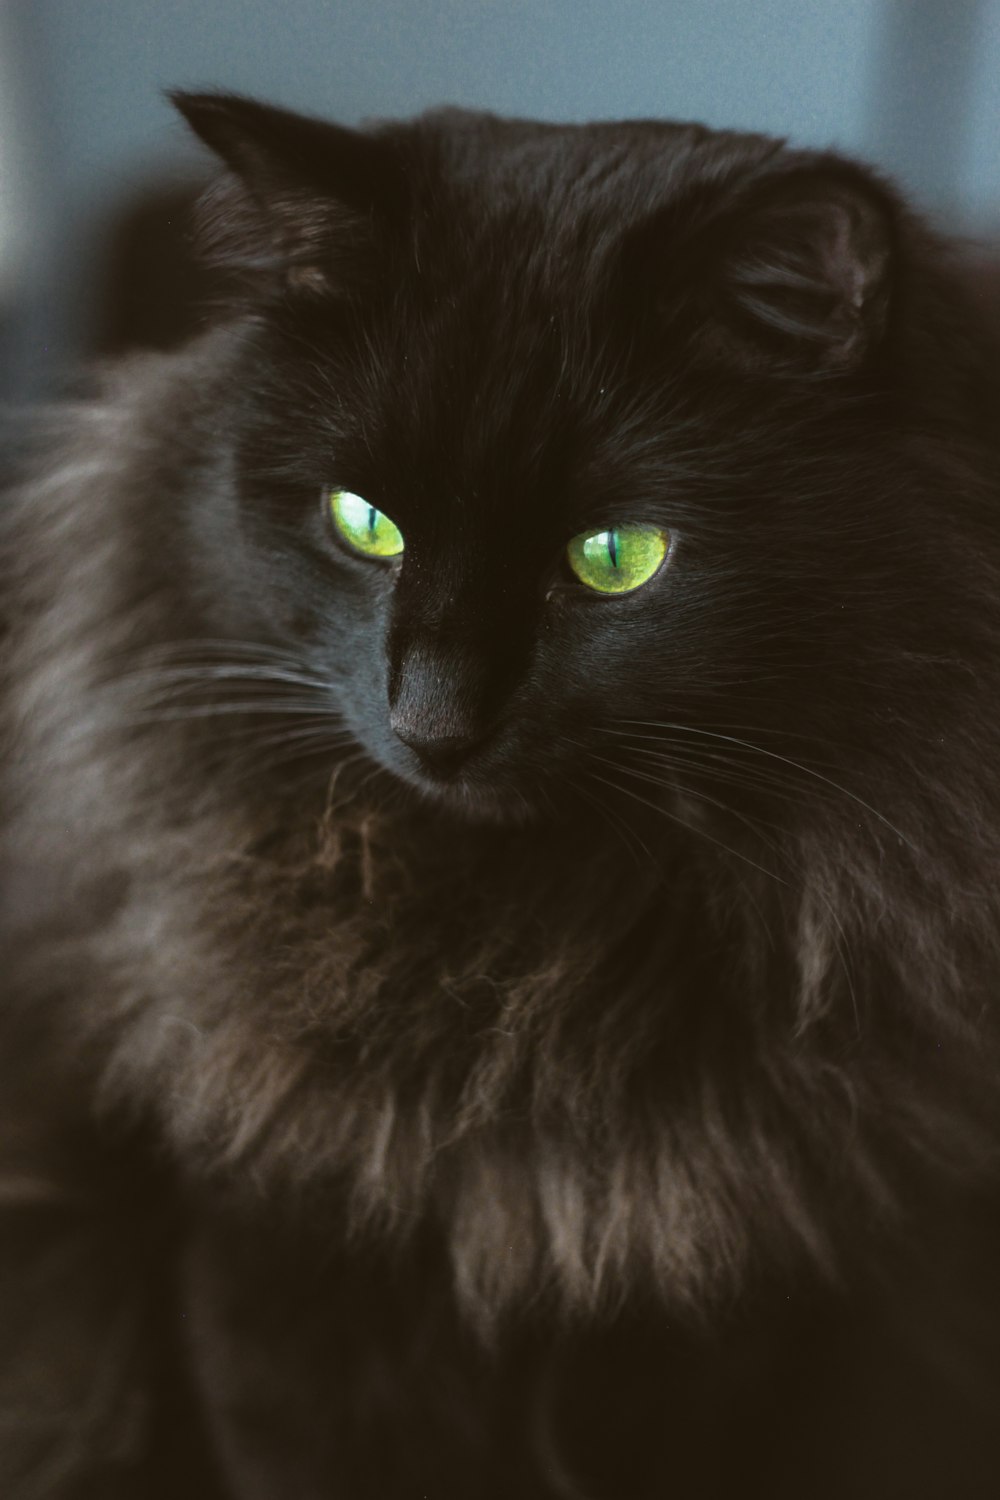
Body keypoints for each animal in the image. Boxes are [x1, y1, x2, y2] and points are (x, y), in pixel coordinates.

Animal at [1, 93, 1000, 1500]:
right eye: (363, 522)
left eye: (615, 558)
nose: (434, 722)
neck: (523, 968)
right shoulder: (275, 1260)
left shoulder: (718, 1317)